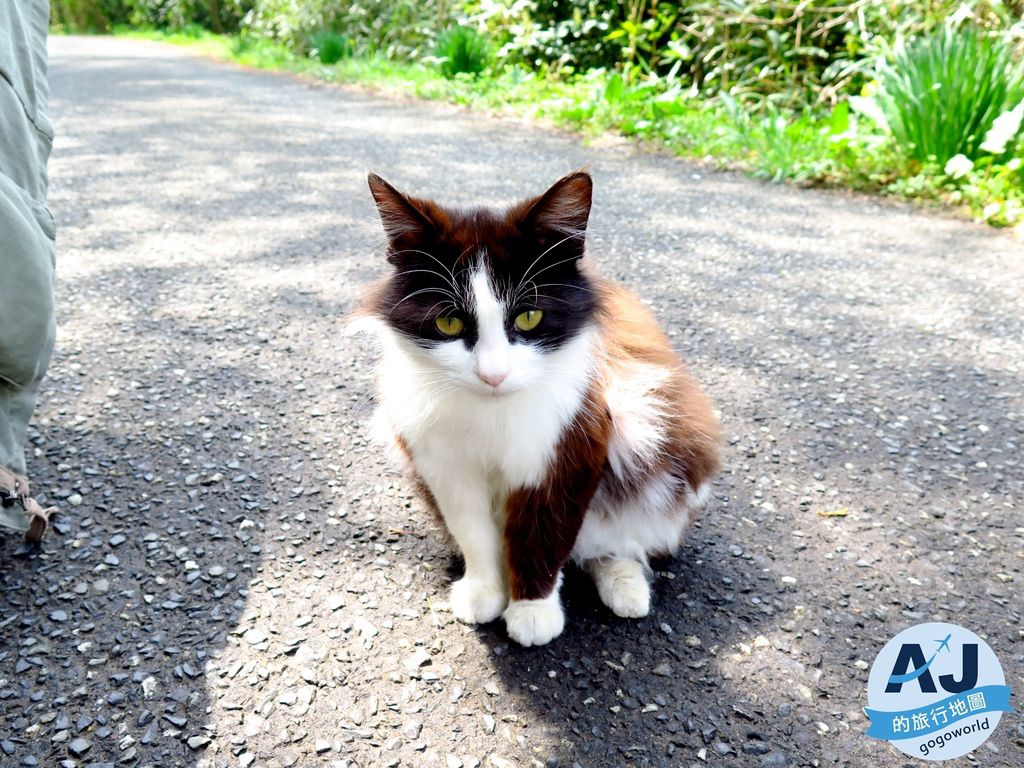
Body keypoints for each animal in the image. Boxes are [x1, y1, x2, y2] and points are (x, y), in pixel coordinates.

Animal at [352, 171, 720, 647]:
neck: (491, 413)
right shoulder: (445, 466)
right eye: (449, 322)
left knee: (614, 541)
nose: (493, 375)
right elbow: (474, 533)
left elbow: (543, 535)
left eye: (528, 318)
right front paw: (485, 591)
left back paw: (626, 587)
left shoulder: (570, 448)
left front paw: (532, 611)